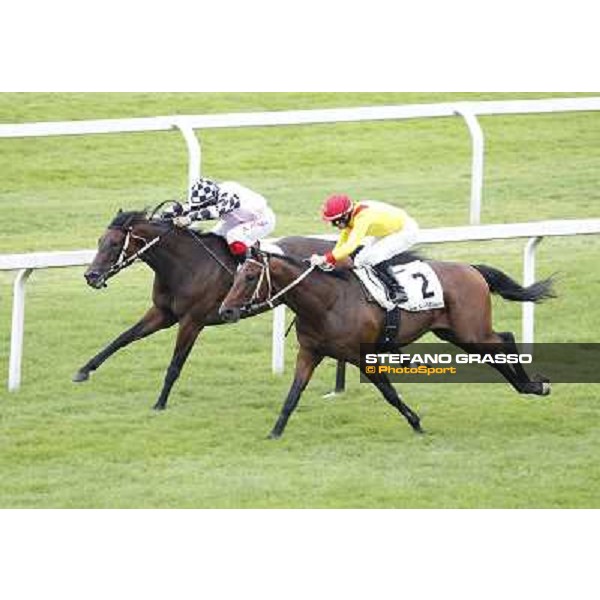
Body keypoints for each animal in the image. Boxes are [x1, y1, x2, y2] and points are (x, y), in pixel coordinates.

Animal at [72, 209, 340, 410]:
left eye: (115, 243)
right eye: (99, 241)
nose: (90, 276)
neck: (186, 265)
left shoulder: (192, 321)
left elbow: (175, 364)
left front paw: (160, 403)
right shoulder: (162, 313)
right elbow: (123, 337)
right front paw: (84, 370)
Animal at [218, 246, 556, 438]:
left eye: (250, 277)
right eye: (236, 276)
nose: (226, 310)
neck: (328, 302)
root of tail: (472, 268)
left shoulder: (361, 356)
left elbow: (389, 393)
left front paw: (416, 423)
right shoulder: (310, 352)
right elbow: (293, 394)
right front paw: (275, 432)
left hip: (471, 330)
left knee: (505, 340)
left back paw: (534, 385)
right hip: (455, 332)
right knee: (496, 350)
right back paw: (527, 386)